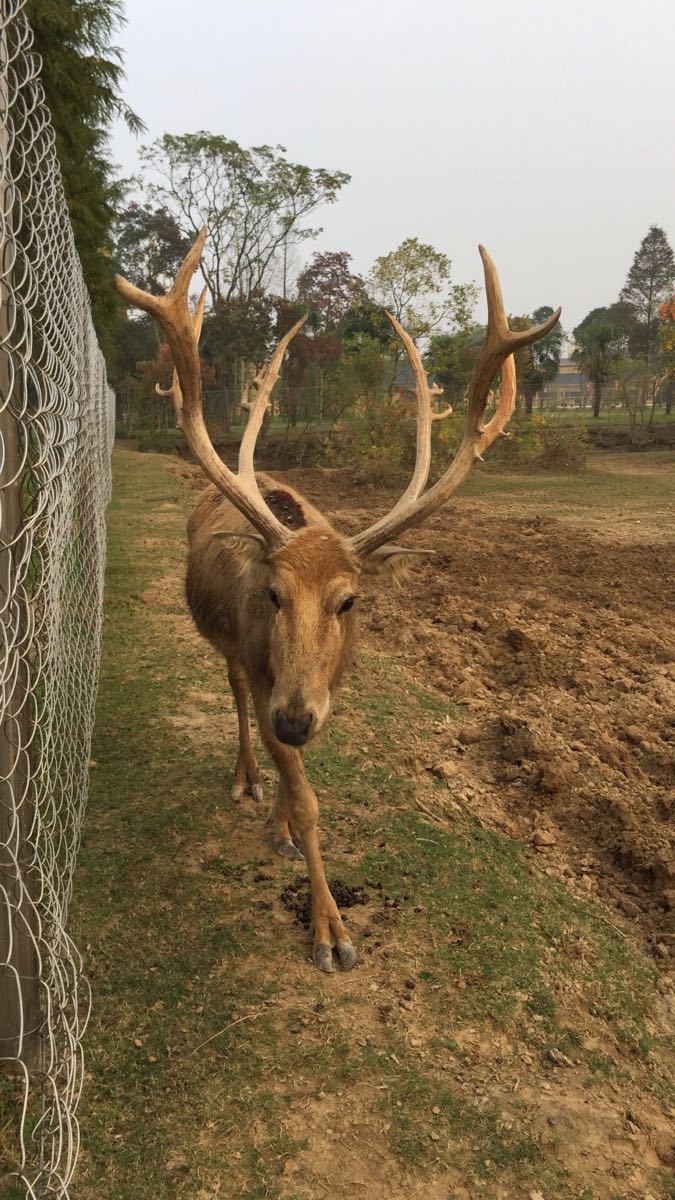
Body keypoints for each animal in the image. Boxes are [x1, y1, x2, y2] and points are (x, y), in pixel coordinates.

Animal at [114, 229, 557, 969]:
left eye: (348, 602)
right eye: (272, 593)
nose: (296, 718)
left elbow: (300, 780)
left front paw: (285, 831)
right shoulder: (265, 669)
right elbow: (306, 794)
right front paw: (330, 931)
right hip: (226, 649)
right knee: (238, 699)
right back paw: (247, 777)